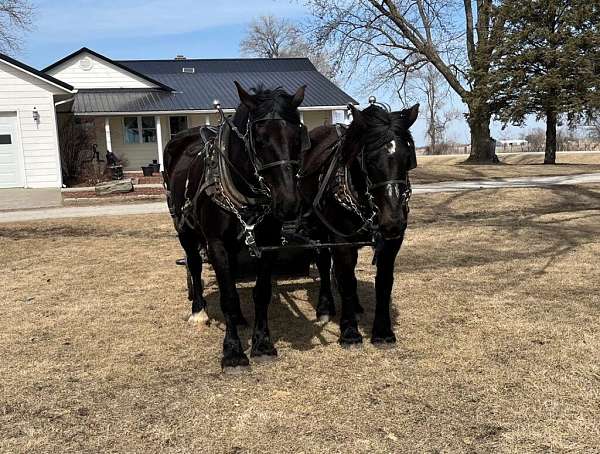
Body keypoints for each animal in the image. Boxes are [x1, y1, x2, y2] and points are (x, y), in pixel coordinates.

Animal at [163, 81, 308, 370]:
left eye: (298, 138)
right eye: (259, 139)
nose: (288, 203)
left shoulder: (267, 243)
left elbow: (261, 292)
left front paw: (262, 343)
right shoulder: (215, 244)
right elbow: (228, 296)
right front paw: (232, 351)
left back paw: (240, 317)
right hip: (183, 228)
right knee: (194, 264)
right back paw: (199, 311)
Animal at [298, 102, 420, 344]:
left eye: (407, 158)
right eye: (370, 160)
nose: (392, 221)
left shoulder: (391, 242)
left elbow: (383, 282)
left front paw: (382, 331)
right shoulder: (340, 241)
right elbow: (345, 280)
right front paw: (349, 331)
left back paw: (355, 305)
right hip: (318, 230)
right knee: (324, 264)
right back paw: (325, 306)